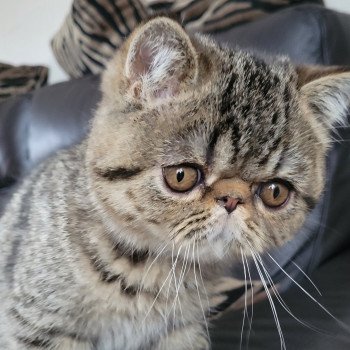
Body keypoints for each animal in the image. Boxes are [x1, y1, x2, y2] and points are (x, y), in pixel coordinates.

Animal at [0, 15, 350, 350]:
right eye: (182, 176)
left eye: (275, 192)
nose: (232, 199)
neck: (153, 271)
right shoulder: (37, 324)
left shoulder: (183, 329)